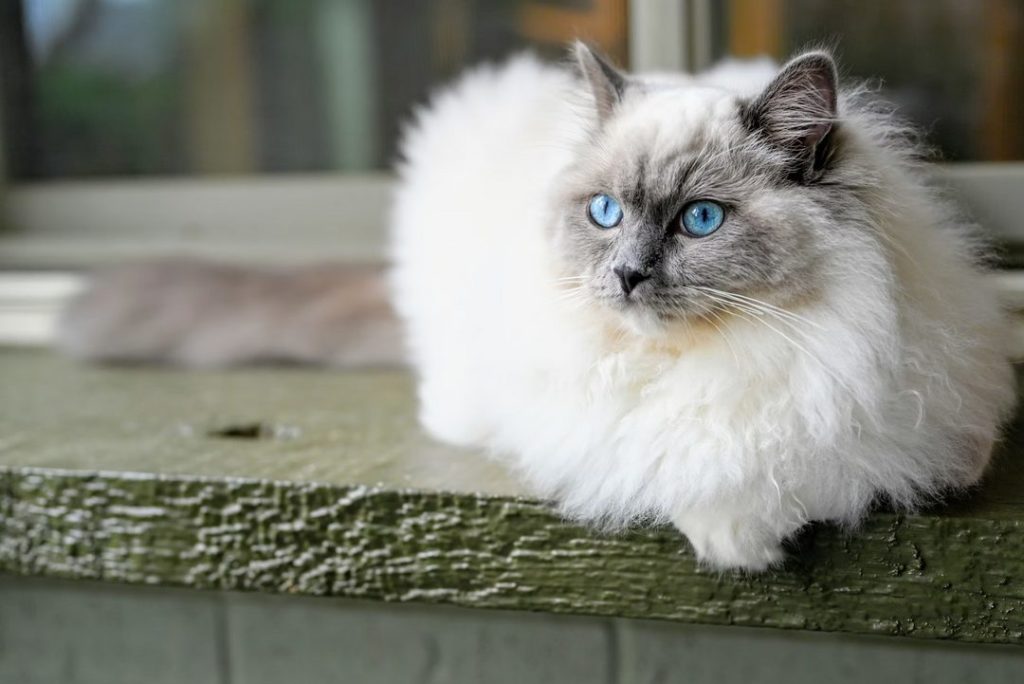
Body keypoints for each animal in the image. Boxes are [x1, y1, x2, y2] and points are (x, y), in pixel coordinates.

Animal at [61, 41, 1015, 565]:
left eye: (701, 219)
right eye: (606, 213)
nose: (626, 275)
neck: (713, 356)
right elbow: (684, 466)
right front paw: (735, 542)